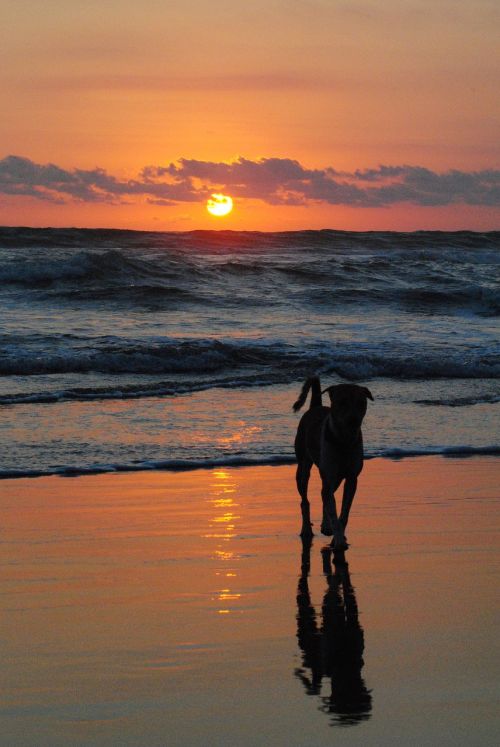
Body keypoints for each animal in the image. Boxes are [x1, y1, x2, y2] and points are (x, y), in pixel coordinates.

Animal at [292, 380, 372, 548]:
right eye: (342, 402)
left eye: (361, 403)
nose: (353, 420)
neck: (344, 441)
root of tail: (315, 406)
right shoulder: (329, 472)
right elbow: (333, 511)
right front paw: (339, 540)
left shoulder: (351, 478)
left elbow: (344, 512)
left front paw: (338, 536)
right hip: (303, 462)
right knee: (305, 497)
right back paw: (306, 530)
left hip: (335, 477)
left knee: (325, 494)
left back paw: (326, 526)